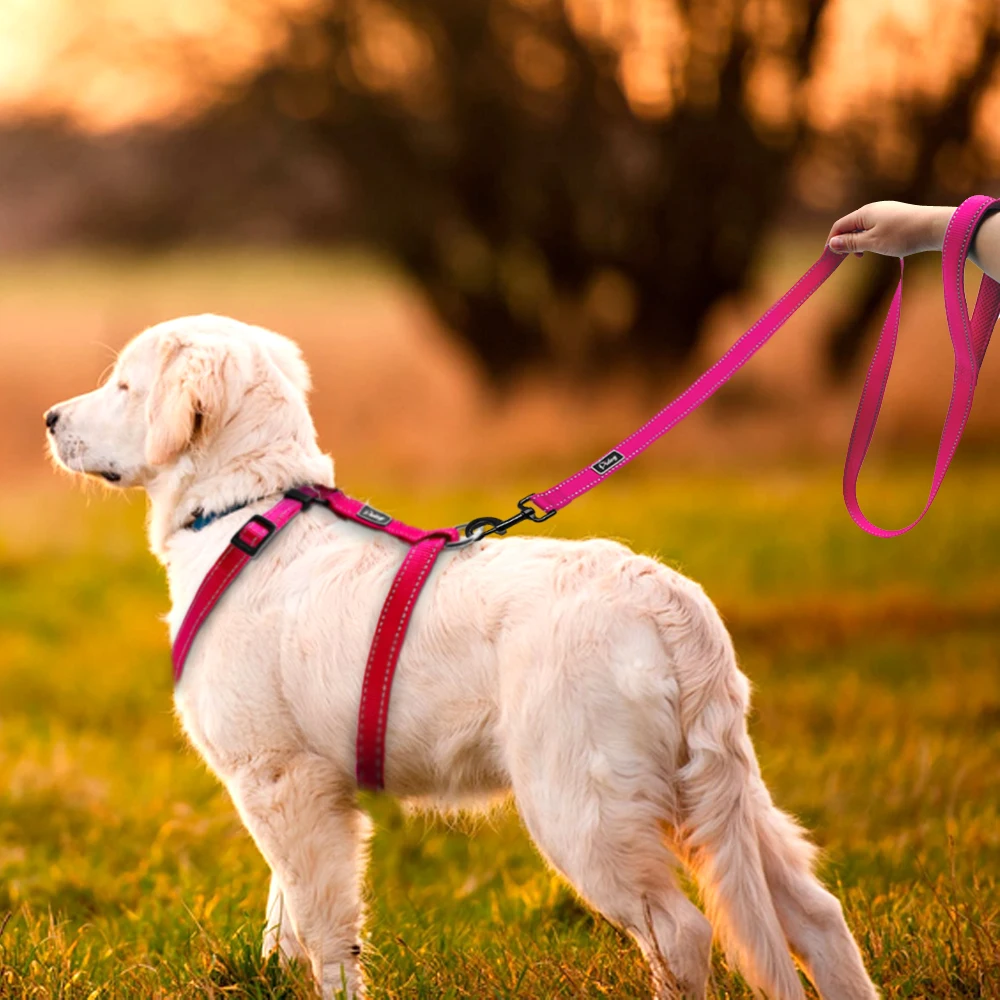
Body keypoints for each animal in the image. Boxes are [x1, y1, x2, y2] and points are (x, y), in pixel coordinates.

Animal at [45, 318, 876, 1000]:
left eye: (123, 385)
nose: (49, 419)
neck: (246, 510)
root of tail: (666, 598)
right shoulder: (290, 788)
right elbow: (285, 913)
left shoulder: (283, 779)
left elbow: (323, 924)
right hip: (721, 785)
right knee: (816, 915)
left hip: (583, 803)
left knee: (681, 933)